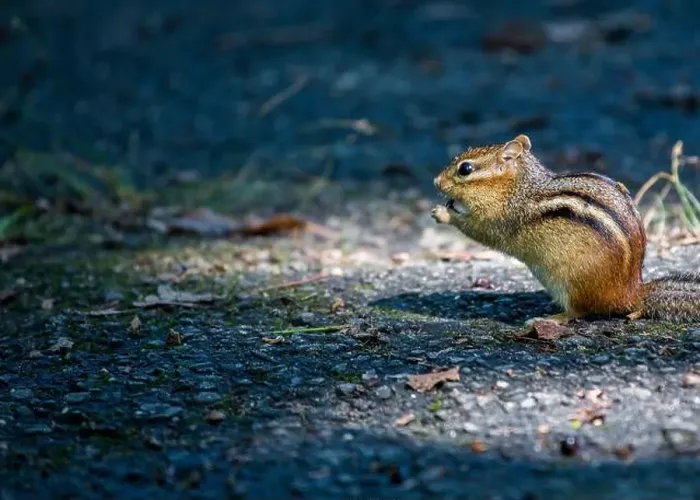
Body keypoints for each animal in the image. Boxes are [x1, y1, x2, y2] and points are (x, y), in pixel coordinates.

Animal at [431, 133, 700, 327]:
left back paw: (548, 319)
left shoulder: (497, 219)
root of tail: (630, 291)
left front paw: (443, 213)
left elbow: (475, 228)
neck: (516, 188)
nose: (436, 182)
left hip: (569, 282)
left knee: (578, 312)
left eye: (465, 169)